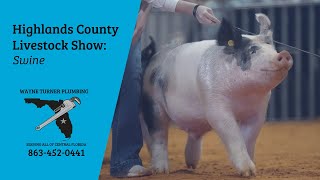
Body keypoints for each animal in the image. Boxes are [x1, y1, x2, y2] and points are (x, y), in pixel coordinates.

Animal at [140, 13, 292, 176]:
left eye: (273, 49)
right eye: (252, 50)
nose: (284, 54)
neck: (244, 95)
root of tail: (153, 59)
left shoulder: (258, 112)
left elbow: (249, 138)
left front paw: (253, 171)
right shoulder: (215, 105)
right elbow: (233, 134)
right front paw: (247, 172)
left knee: (192, 136)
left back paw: (191, 166)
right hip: (153, 104)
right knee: (158, 135)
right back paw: (160, 170)